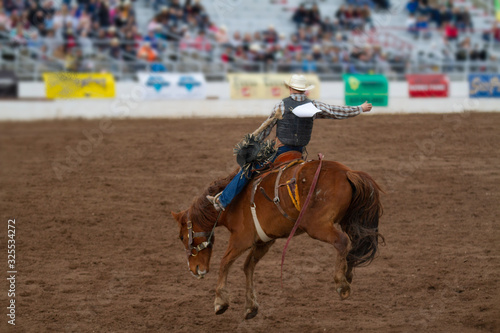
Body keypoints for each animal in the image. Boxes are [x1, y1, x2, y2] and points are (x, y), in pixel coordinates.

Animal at [172, 158, 382, 320]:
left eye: (181, 236)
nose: (194, 270)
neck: (229, 204)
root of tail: (347, 172)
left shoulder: (241, 239)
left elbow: (225, 263)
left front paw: (220, 302)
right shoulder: (264, 241)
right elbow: (248, 267)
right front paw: (250, 306)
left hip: (317, 226)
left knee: (342, 241)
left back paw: (342, 283)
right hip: (349, 220)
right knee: (356, 243)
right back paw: (348, 273)